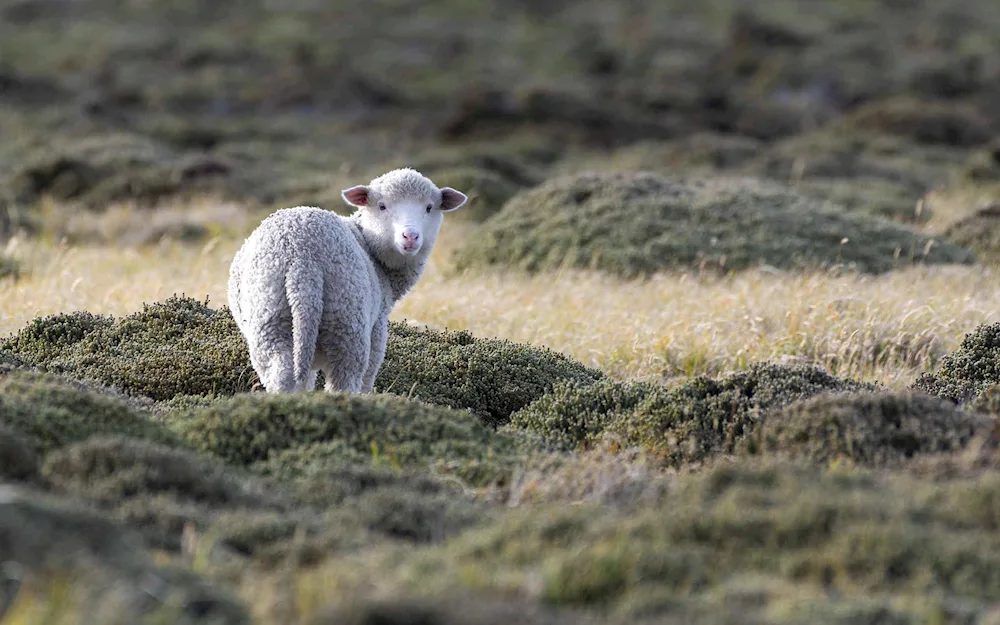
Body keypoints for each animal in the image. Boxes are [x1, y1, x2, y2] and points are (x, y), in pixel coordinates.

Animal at [230, 168, 468, 392]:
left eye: (429, 207)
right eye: (382, 206)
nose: (410, 237)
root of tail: (302, 259)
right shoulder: (378, 327)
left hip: (271, 319)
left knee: (282, 375)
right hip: (347, 324)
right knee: (345, 381)